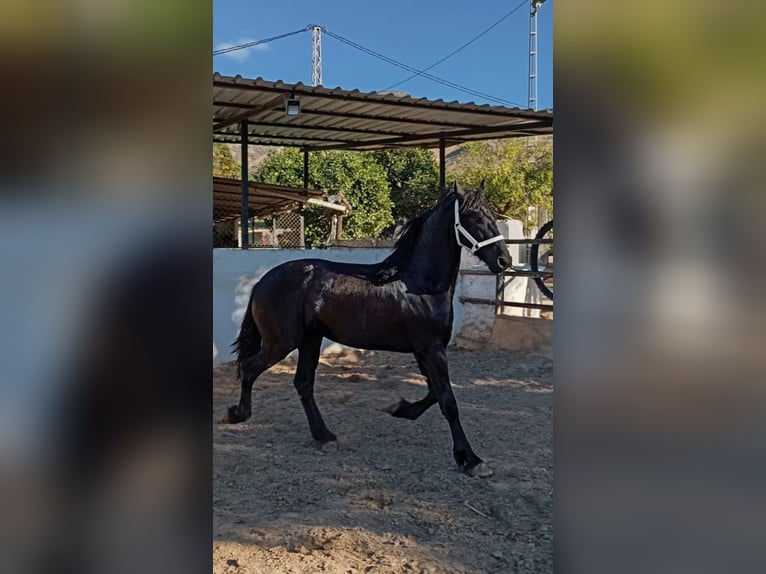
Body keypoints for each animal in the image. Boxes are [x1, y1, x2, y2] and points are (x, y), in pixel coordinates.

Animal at [222, 181, 511, 477]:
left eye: (493, 214)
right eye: (474, 217)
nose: (504, 261)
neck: (420, 285)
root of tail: (262, 282)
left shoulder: (425, 350)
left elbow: (434, 393)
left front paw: (399, 409)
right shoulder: (431, 348)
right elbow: (447, 401)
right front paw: (472, 460)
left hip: (310, 339)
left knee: (302, 382)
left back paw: (324, 436)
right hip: (281, 342)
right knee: (250, 368)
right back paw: (237, 414)